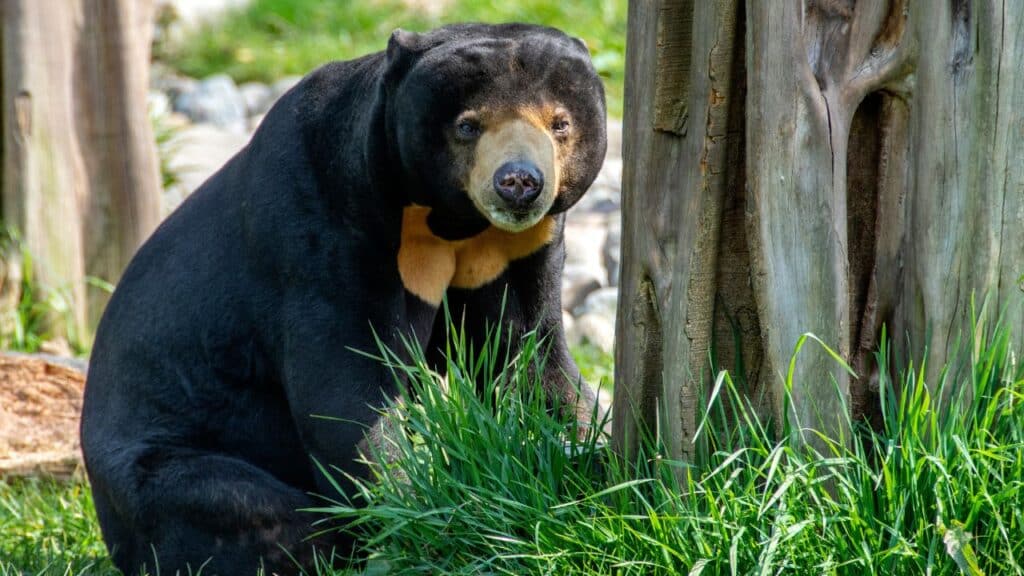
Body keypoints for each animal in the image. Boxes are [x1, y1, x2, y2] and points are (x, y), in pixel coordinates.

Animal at [80, 23, 607, 575]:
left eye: (560, 123)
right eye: (468, 126)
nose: (519, 183)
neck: (447, 223)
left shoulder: (511, 254)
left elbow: (528, 357)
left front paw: (583, 454)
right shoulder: (323, 233)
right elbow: (346, 393)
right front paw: (423, 509)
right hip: (160, 470)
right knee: (252, 511)